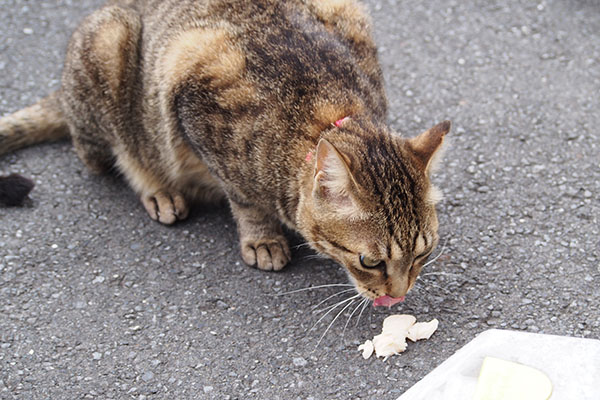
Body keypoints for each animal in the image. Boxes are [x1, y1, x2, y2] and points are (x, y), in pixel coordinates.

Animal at [0, 0, 448, 304]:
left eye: (423, 253)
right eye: (369, 262)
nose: (399, 295)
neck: (328, 115)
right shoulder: (193, 104)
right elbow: (244, 199)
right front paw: (262, 238)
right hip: (110, 47)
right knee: (105, 152)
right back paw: (157, 188)